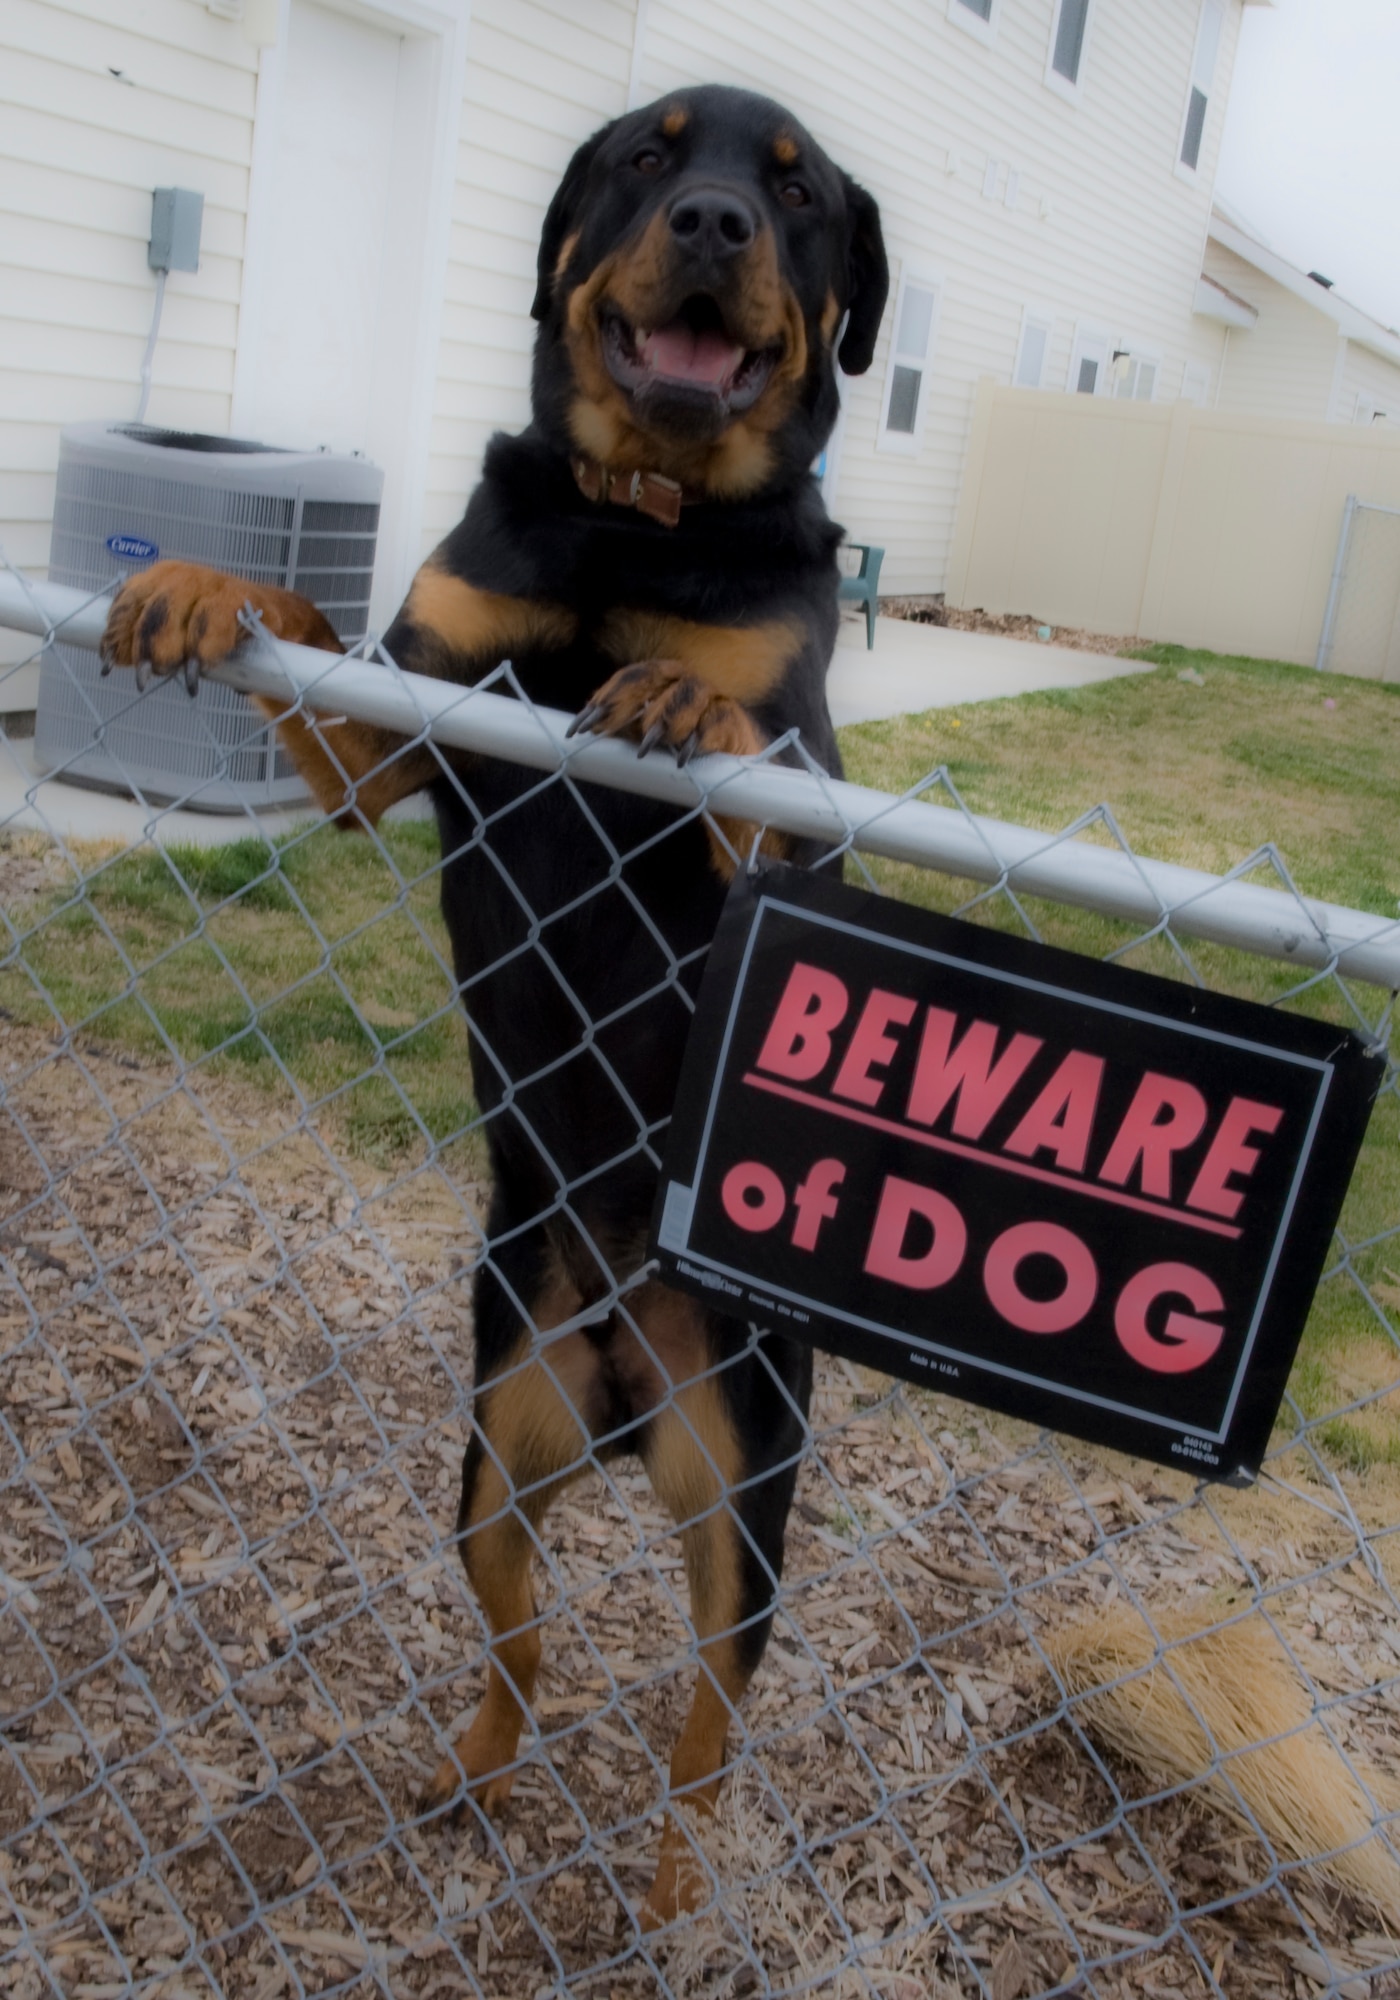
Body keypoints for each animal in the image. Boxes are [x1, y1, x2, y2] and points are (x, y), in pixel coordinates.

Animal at [95, 82, 884, 1920]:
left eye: (799, 195)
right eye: (651, 156)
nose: (719, 223)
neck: (636, 512)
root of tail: (619, 1368)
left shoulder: (802, 837)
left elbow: (742, 750)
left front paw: (676, 697)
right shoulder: (400, 735)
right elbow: (315, 628)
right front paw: (205, 587)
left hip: (744, 1494)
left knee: (708, 1718)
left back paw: (676, 1886)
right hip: (488, 1454)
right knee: (519, 1644)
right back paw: (470, 1772)